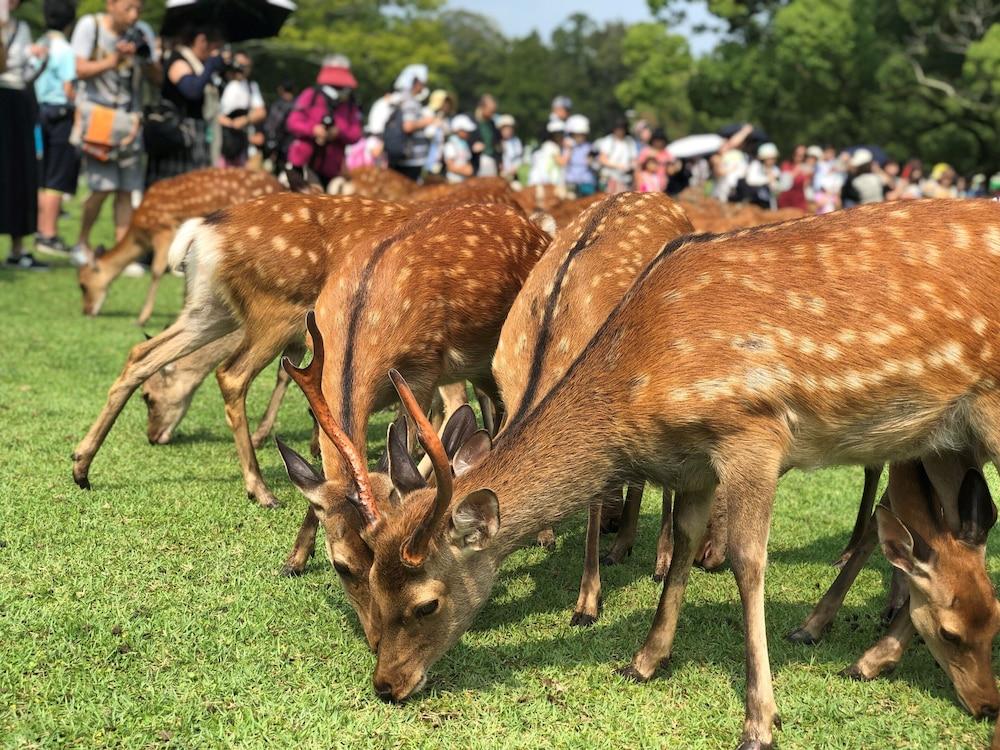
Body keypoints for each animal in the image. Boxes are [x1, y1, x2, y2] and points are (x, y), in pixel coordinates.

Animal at [75, 169, 282, 324]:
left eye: (83, 285)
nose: (86, 311)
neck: (141, 234)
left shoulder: (164, 229)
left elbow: (157, 271)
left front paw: (142, 318)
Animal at [274, 201, 552, 600]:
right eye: (341, 564)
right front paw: (293, 559)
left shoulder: (422, 373)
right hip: (482, 366)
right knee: (494, 409)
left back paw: (545, 533)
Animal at [336, 195, 1000, 750]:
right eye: (366, 579)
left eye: (426, 604)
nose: (386, 684)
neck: (637, 380)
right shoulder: (694, 464)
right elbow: (681, 543)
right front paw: (645, 659)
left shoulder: (752, 431)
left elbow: (748, 563)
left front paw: (760, 720)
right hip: (947, 440)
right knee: (952, 538)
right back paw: (875, 653)